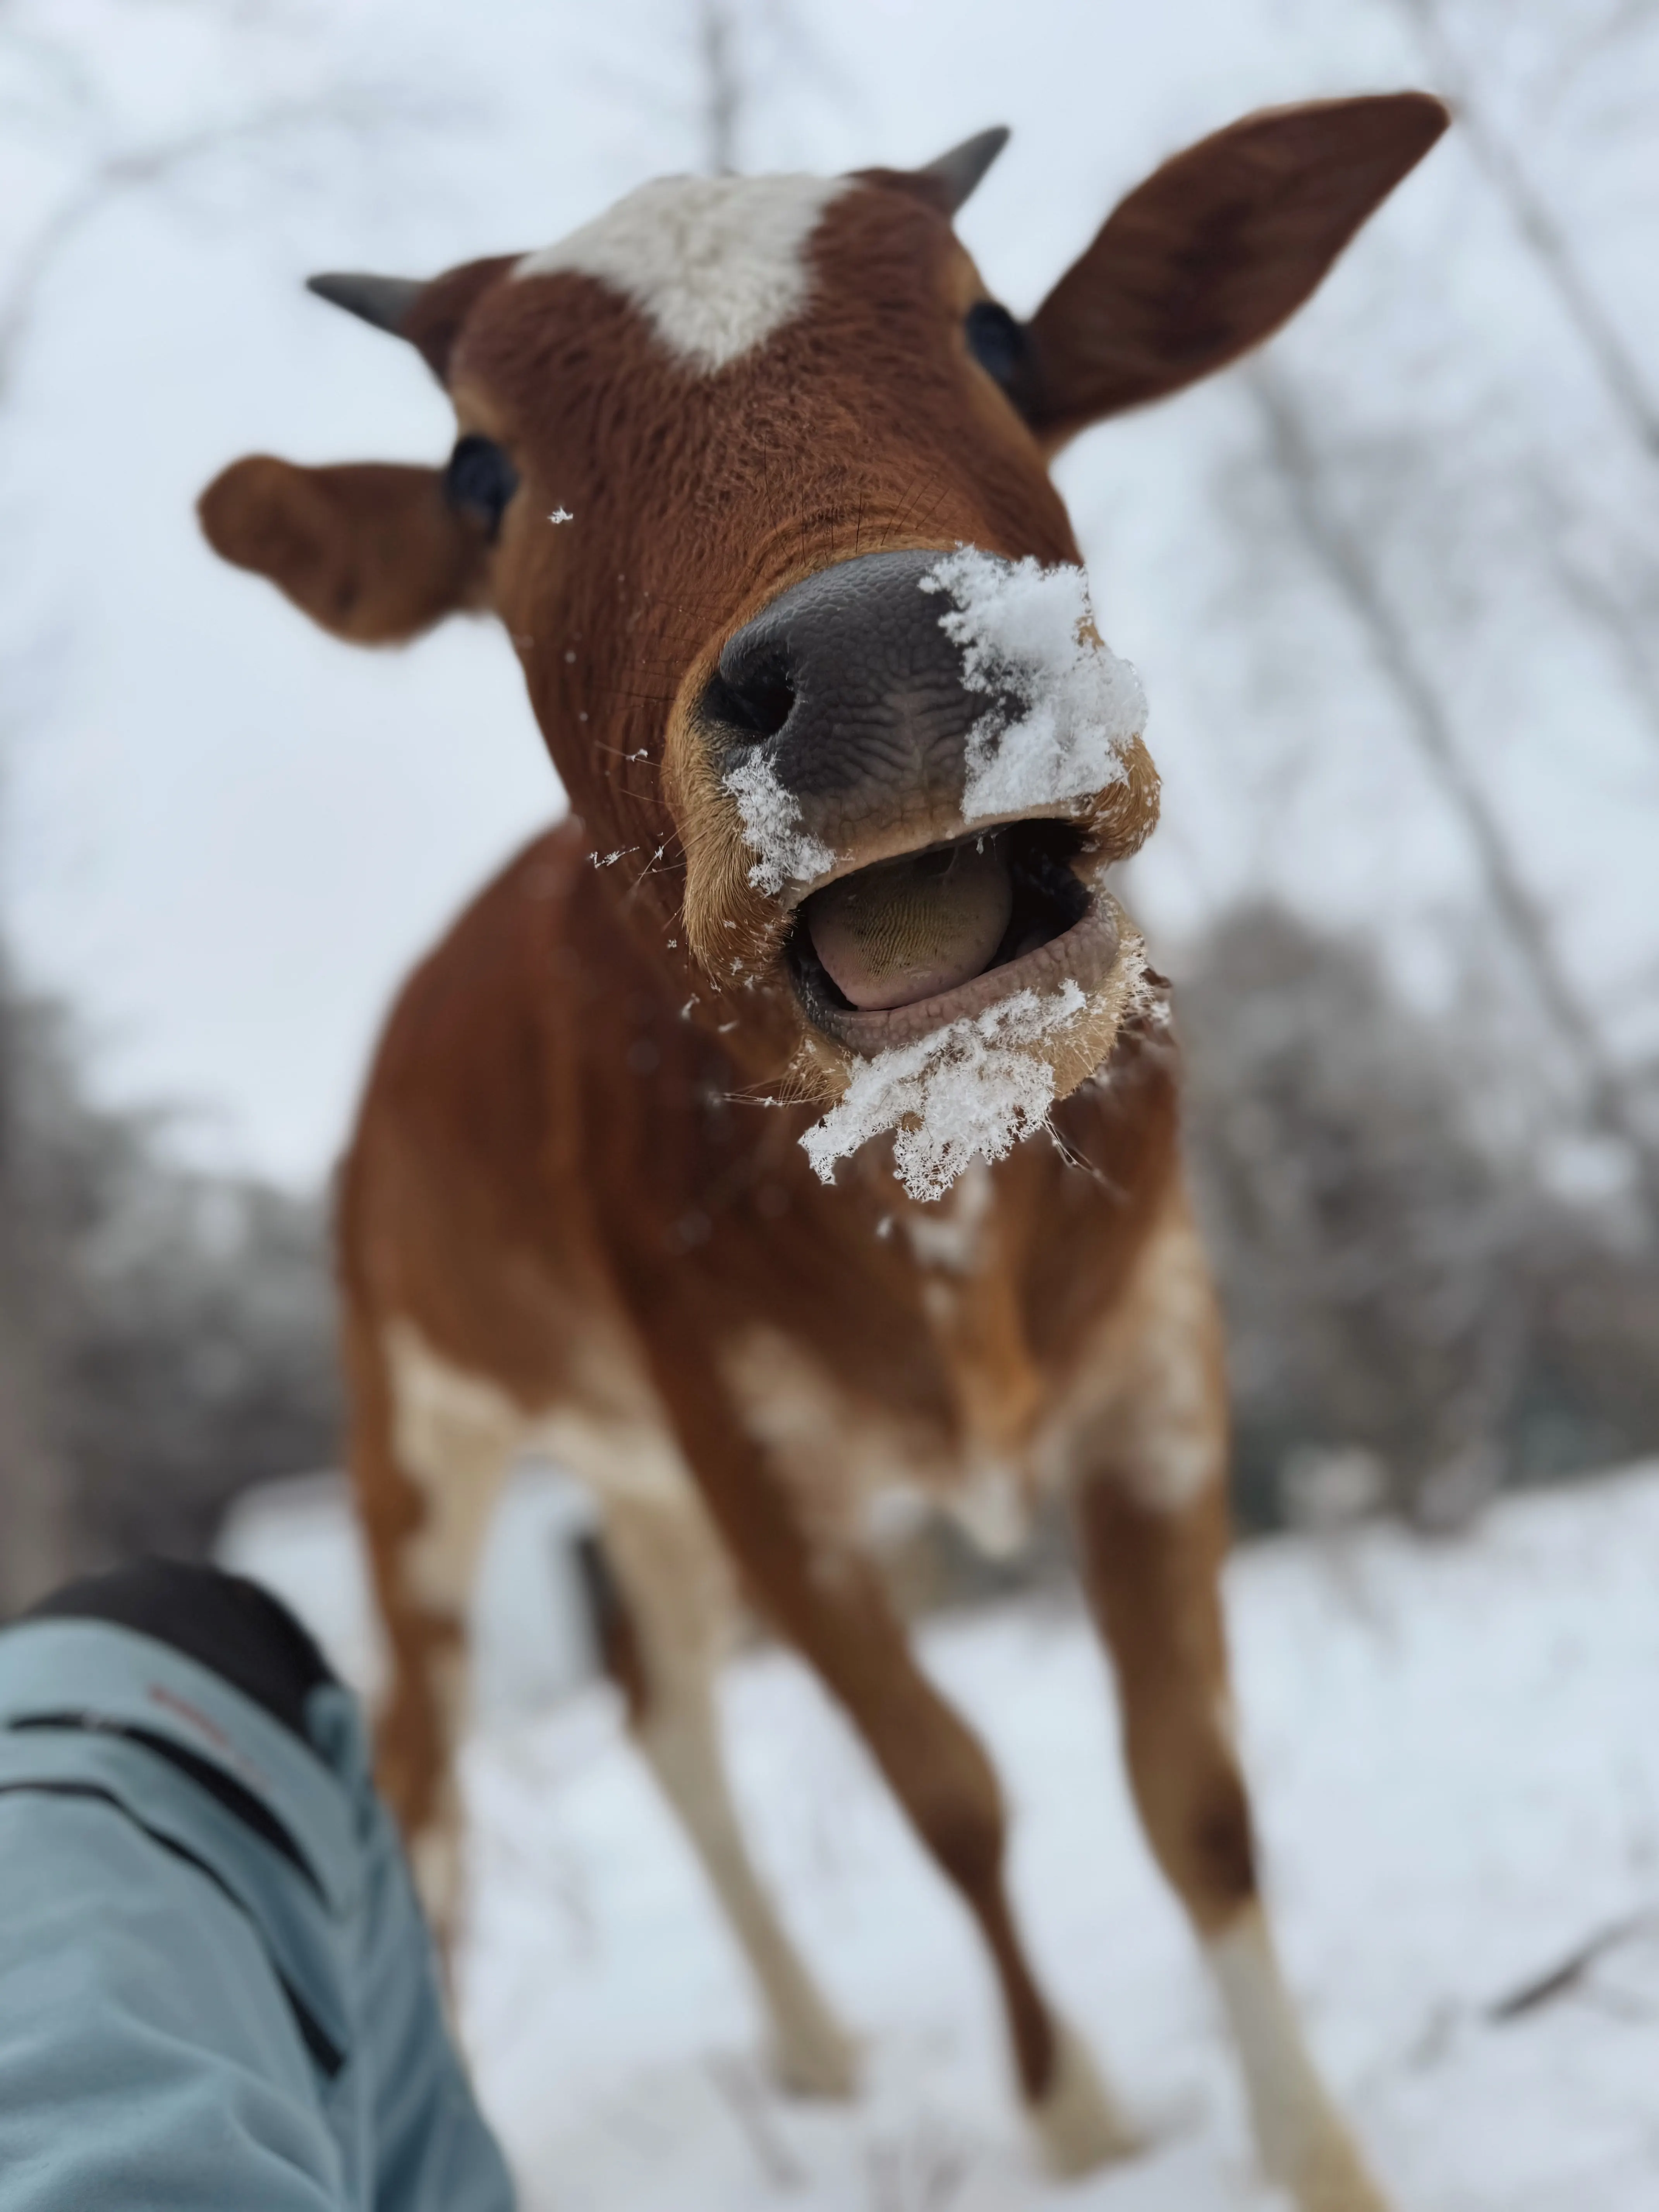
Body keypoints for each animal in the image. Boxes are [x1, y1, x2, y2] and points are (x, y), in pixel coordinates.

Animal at [199, 96, 1448, 2208]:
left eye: (998, 332)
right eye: (479, 469)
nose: (884, 657)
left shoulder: (1154, 1373)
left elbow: (1193, 1793)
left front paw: (1319, 2157)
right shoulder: (765, 1463)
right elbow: (946, 1790)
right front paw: (1075, 2115)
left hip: (640, 1481)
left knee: (668, 1716)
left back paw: (810, 2042)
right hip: (423, 1432)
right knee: (427, 1763)